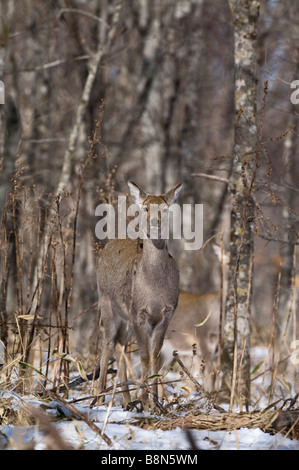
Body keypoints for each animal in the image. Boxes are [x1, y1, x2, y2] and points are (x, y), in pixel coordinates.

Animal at [96, 180, 183, 408]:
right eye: (145, 208)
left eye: (165, 209)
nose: (154, 222)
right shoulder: (138, 313)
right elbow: (143, 357)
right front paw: (144, 400)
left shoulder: (166, 314)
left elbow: (155, 356)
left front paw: (155, 402)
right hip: (106, 299)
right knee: (108, 342)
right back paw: (98, 398)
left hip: (125, 318)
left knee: (120, 346)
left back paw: (126, 400)